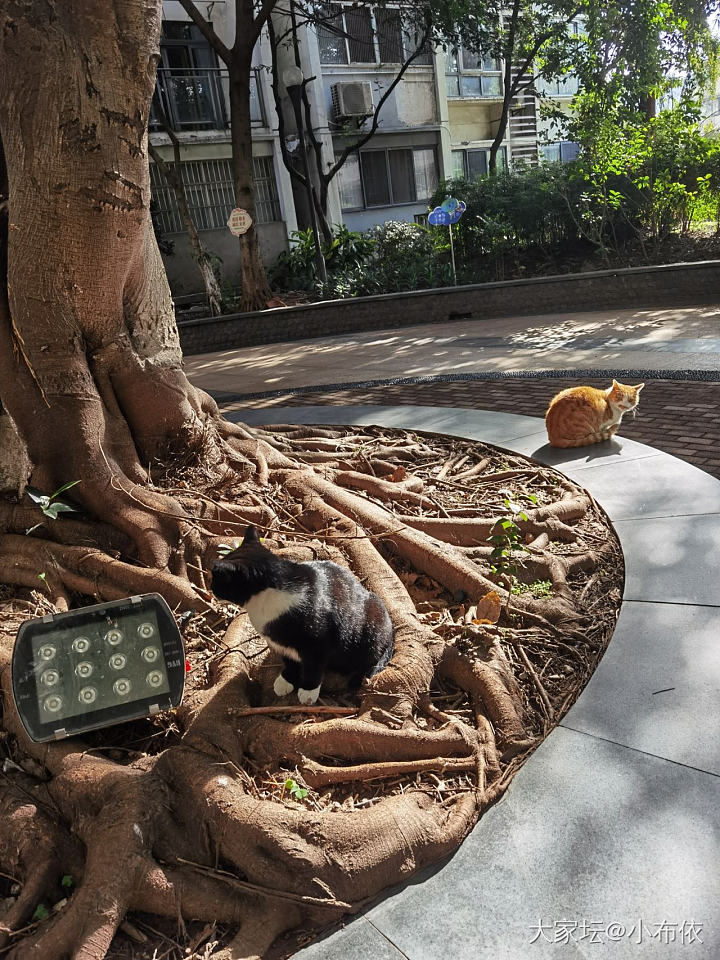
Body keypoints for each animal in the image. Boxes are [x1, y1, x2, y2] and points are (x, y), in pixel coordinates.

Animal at [211, 524, 396, 704]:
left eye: (217, 580)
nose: (211, 587)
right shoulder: (281, 645)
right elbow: (290, 663)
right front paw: (286, 680)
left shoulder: (319, 645)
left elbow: (313, 669)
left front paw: (308, 691)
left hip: (373, 624)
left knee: (369, 660)